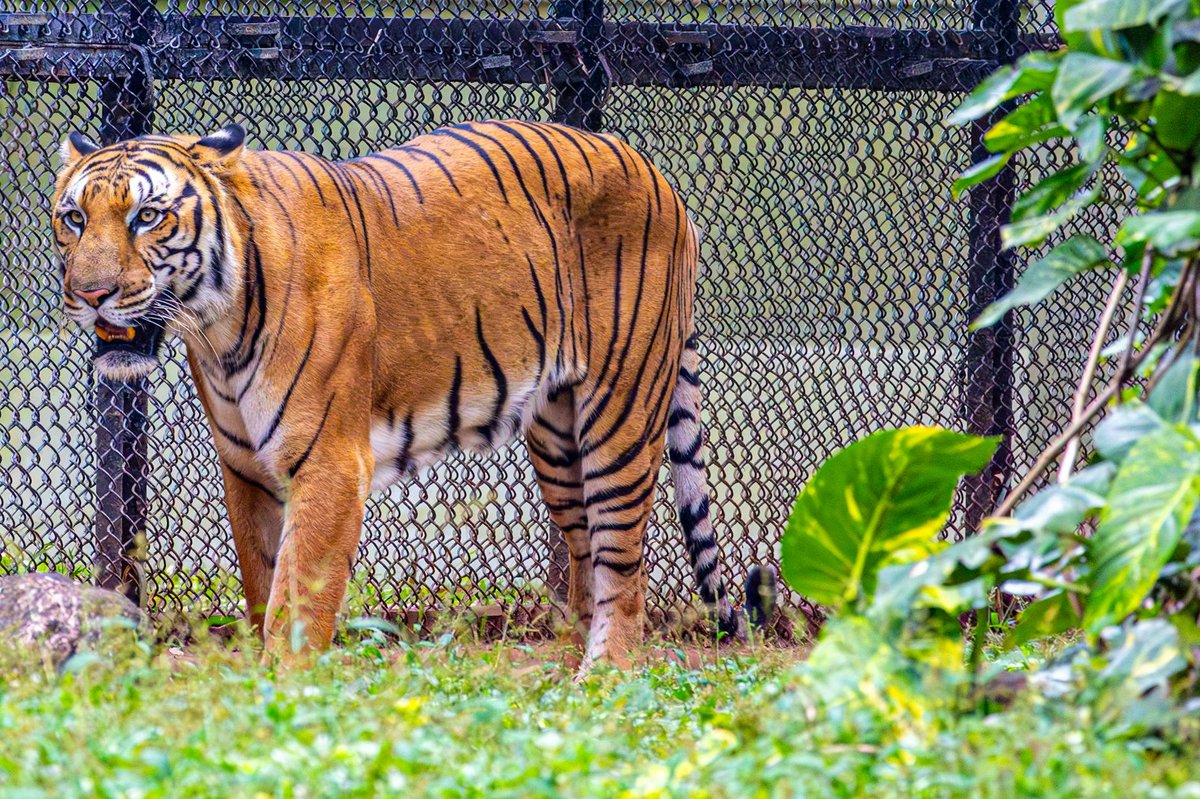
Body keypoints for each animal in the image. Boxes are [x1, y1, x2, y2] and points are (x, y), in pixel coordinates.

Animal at [50, 120, 776, 670]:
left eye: (147, 216)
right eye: (74, 218)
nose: (89, 294)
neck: (216, 327)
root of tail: (657, 173)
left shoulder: (330, 464)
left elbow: (297, 600)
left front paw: (282, 697)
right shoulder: (247, 471)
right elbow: (262, 587)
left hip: (619, 413)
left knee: (625, 565)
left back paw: (601, 677)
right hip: (557, 433)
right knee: (585, 552)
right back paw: (563, 666)